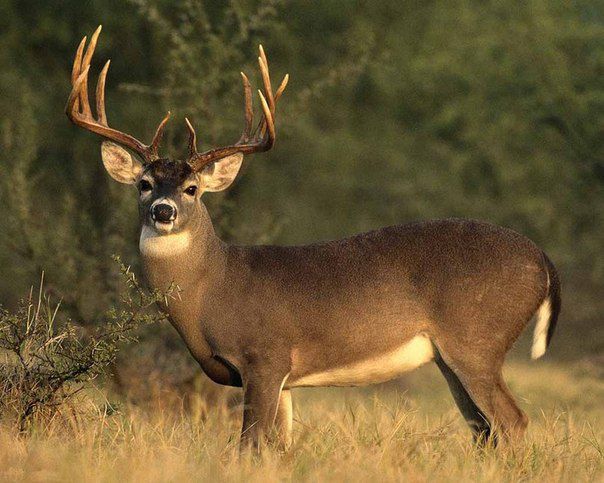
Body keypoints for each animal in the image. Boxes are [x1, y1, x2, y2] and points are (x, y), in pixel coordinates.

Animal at [66, 25, 560, 450]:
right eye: (144, 184)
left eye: (192, 188)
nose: (163, 211)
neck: (213, 290)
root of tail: (543, 261)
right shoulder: (283, 378)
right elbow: (278, 448)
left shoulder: (265, 356)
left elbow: (249, 445)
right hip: (450, 357)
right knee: (483, 430)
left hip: (477, 340)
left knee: (512, 421)